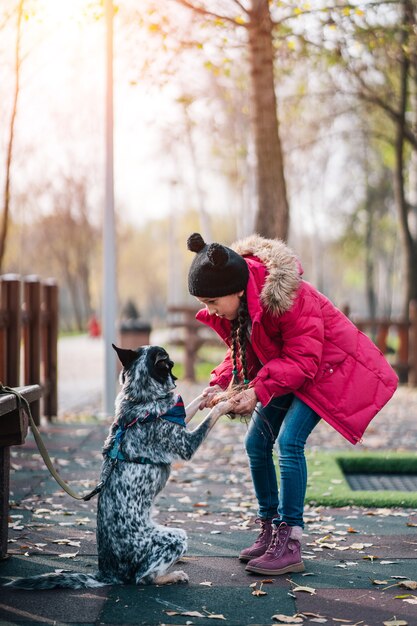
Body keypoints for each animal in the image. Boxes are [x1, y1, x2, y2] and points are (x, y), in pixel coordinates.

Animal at [4, 344, 231, 588]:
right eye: (169, 365)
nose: (176, 378)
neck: (140, 400)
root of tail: (107, 574)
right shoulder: (187, 445)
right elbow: (210, 418)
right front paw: (227, 402)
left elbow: (193, 405)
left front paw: (211, 394)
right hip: (176, 536)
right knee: (143, 578)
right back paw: (172, 576)